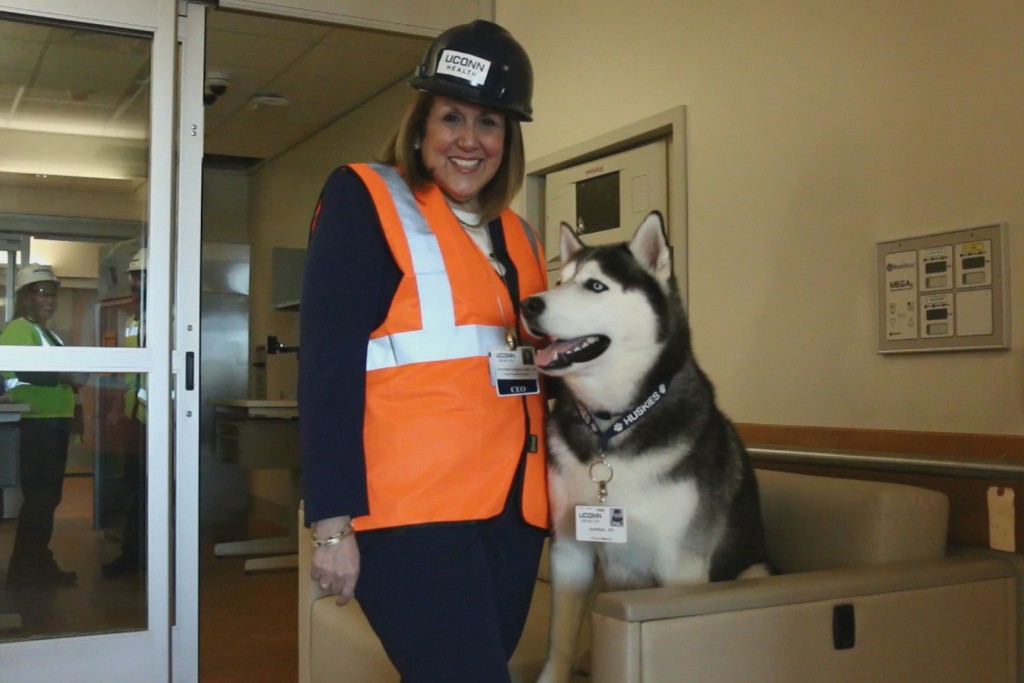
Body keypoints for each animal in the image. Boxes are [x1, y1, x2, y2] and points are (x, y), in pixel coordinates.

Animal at [524, 210, 770, 679]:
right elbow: (559, 638)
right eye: (560, 280)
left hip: (755, 572)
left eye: (595, 285)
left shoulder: (681, 565)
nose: (528, 304)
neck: (611, 425)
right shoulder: (569, 552)